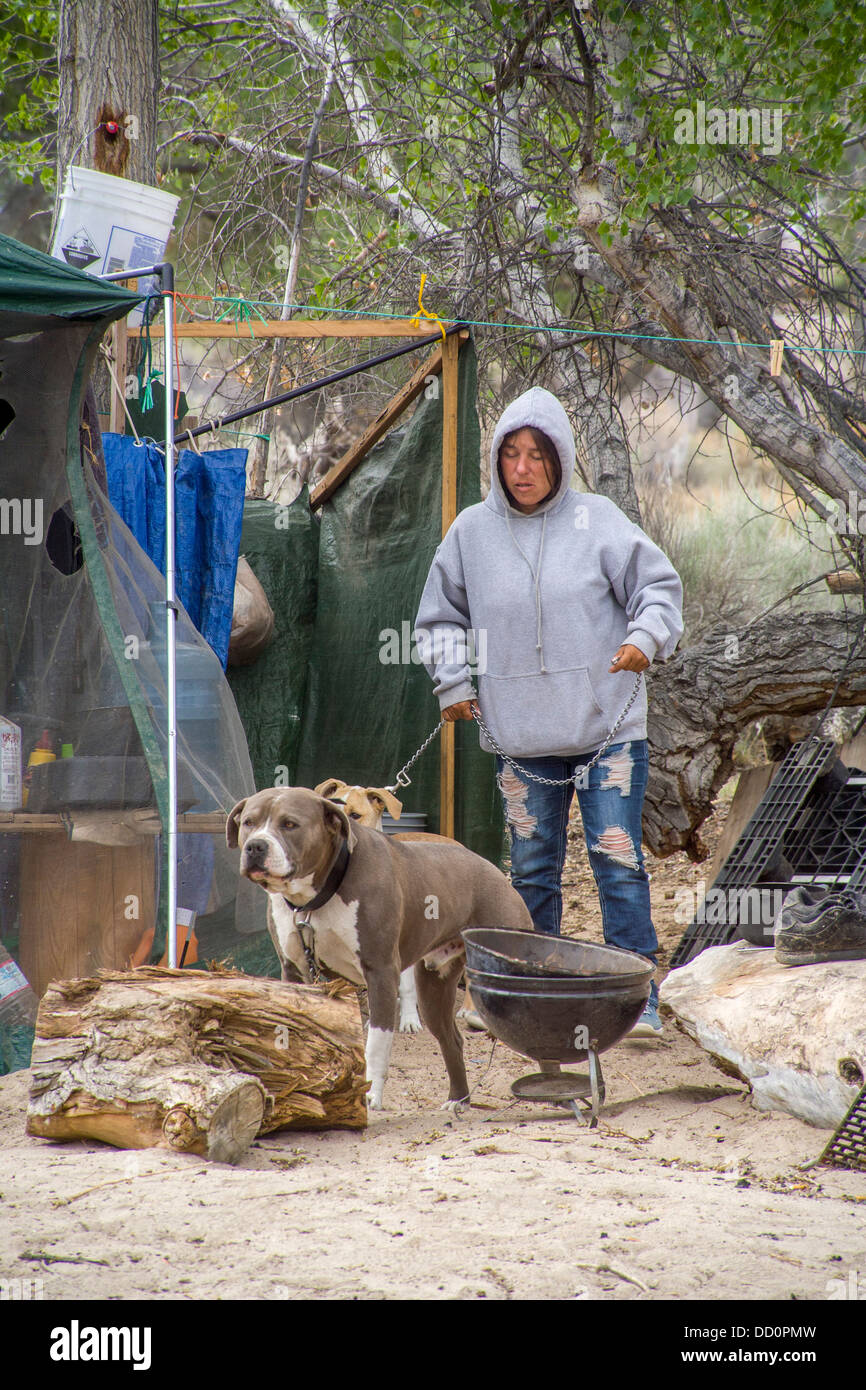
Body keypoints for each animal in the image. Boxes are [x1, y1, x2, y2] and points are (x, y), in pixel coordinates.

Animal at [226, 789, 530, 1112]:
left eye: (290, 824)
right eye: (249, 822)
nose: (255, 846)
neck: (317, 897)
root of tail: (497, 871)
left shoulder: (381, 972)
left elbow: (375, 1043)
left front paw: (370, 1094)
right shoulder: (294, 971)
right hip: (434, 987)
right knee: (452, 1039)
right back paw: (458, 1099)